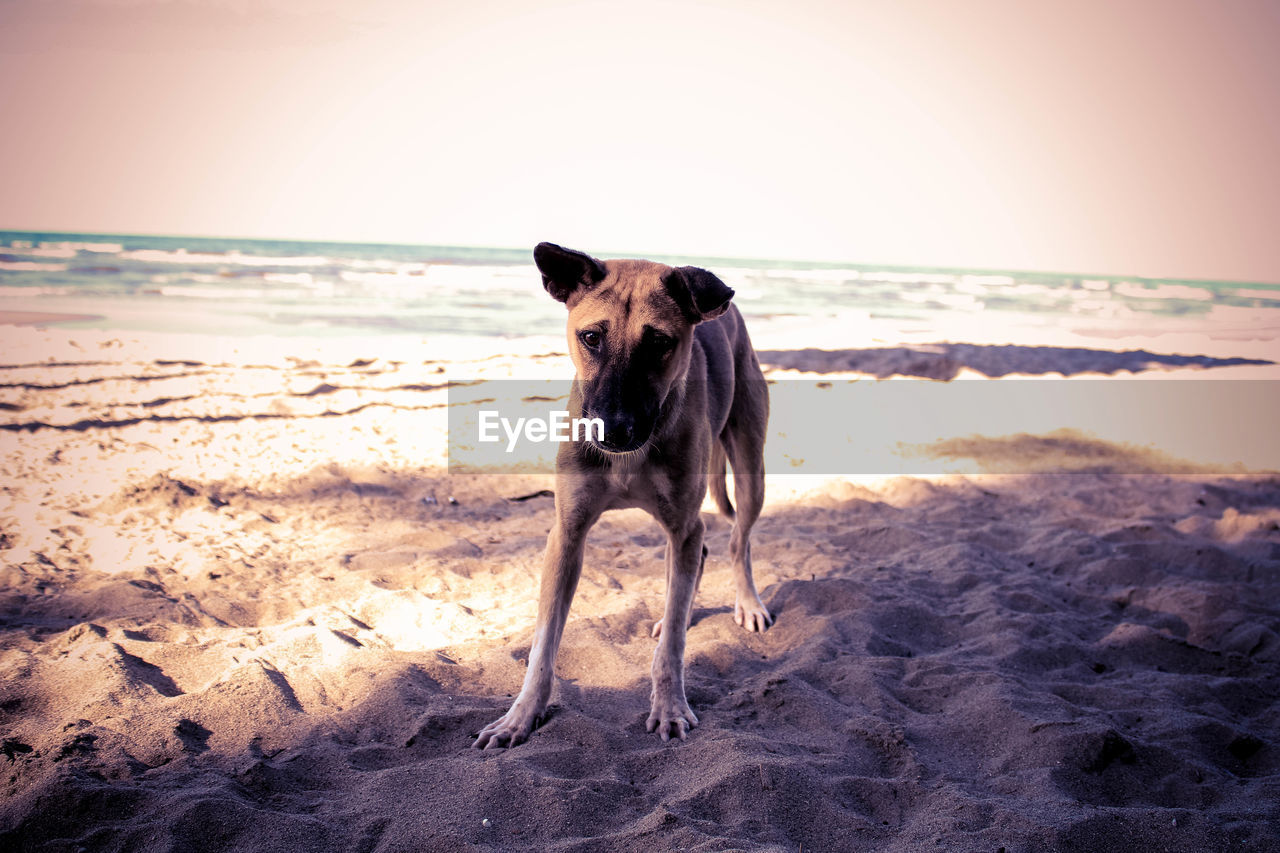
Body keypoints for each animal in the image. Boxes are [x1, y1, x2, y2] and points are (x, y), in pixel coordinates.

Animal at [473, 242, 762, 747]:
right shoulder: (567, 534)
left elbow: (673, 648)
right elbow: (543, 646)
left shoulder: (683, 526)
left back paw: (745, 603)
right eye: (591, 337)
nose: (612, 431)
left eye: (659, 342)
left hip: (750, 471)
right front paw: (521, 715)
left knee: (735, 541)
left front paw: (669, 706)